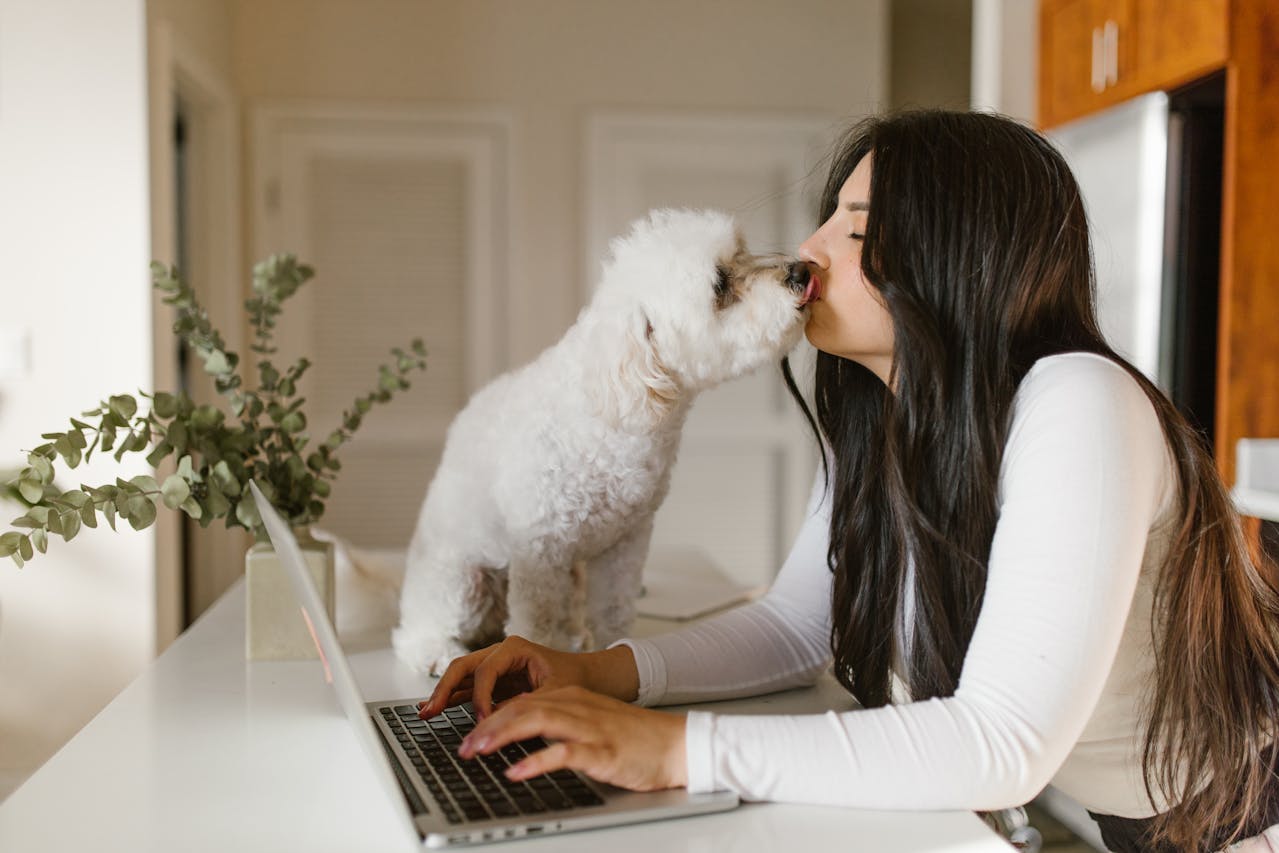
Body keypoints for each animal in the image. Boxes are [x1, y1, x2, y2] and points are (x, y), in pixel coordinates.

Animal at [388, 208, 813, 675]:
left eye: (741, 251)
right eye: (719, 284)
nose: (802, 271)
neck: (612, 413)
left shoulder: (624, 546)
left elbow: (613, 610)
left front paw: (614, 650)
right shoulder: (542, 550)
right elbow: (536, 624)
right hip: (461, 580)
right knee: (415, 633)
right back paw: (437, 652)